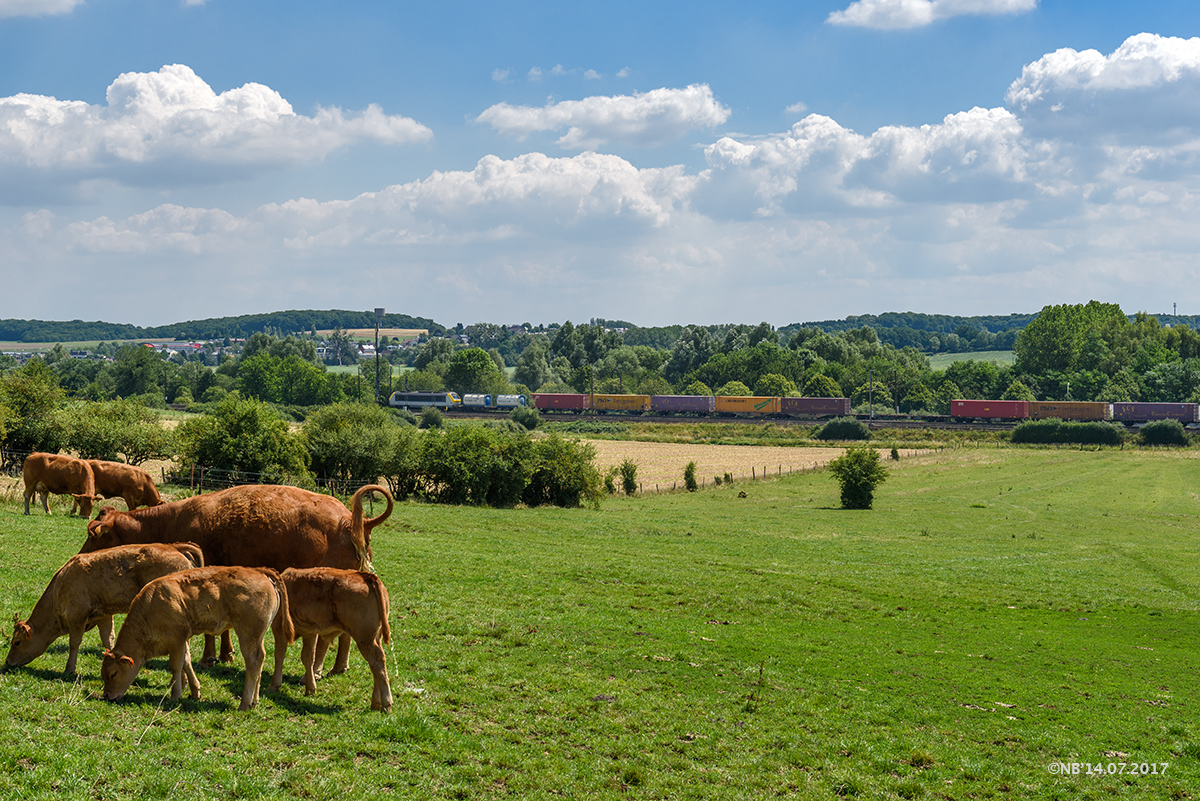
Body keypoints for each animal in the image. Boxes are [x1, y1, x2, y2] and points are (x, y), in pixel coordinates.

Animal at [2, 541, 204, 681]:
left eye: (17, 642)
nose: (8, 662)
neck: (62, 583)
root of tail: (176, 548)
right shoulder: (104, 616)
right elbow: (108, 639)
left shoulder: (77, 616)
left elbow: (74, 643)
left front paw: (69, 669)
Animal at [84, 482, 393, 671]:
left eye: (95, 535)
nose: (82, 554)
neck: (175, 519)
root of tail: (350, 521)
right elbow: (224, 628)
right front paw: (224, 654)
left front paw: (210, 656)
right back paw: (338, 667)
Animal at [100, 565, 292, 709]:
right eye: (103, 674)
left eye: (113, 674)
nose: (107, 696)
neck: (151, 606)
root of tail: (260, 572)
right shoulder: (183, 640)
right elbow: (186, 661)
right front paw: (195, 692)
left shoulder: (176, 638)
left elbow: (176, 666)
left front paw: (175, 695)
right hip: (257, 636)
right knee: (260, 660)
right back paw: (254, 701)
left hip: (248, 634)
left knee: (253, 661)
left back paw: (244, 704)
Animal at [271, 565, 393, 709]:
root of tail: (366, 576)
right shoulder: (310, 631)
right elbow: (308, 657)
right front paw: (310, 688)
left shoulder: (279, 627)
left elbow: (279, 655)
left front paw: (274, 685)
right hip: (374, 638)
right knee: (375, 667)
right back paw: (376, 703)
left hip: (365, 639)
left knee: (378, 662)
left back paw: (386, 703)